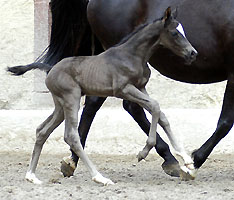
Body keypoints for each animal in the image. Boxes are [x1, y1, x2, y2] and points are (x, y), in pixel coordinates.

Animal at [22, 0, 234, 177]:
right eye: (174, 33)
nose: (193, 53)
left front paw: (189, 159)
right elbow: (225, 122)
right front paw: (194, 161)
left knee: (92, 105)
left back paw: (72, 160)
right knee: (122, 107)